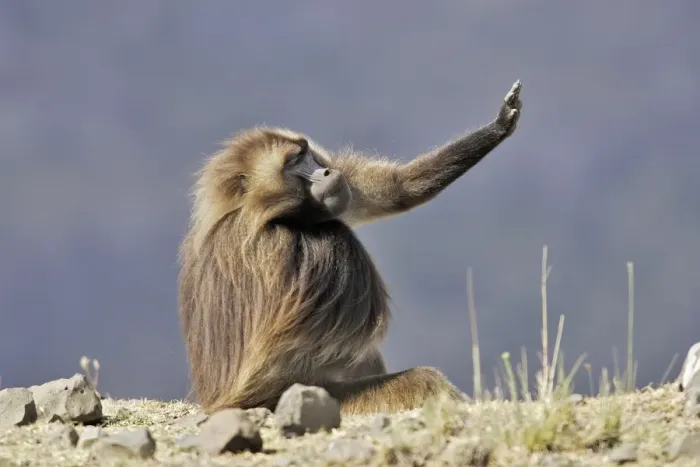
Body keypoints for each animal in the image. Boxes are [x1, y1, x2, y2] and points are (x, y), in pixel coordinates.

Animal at [178, 80, 523, 415]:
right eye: (292, 164)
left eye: (306, 155)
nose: (327, 172)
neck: (264, 214)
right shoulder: (276, 247)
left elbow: (396, 188)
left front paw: (500, 123)